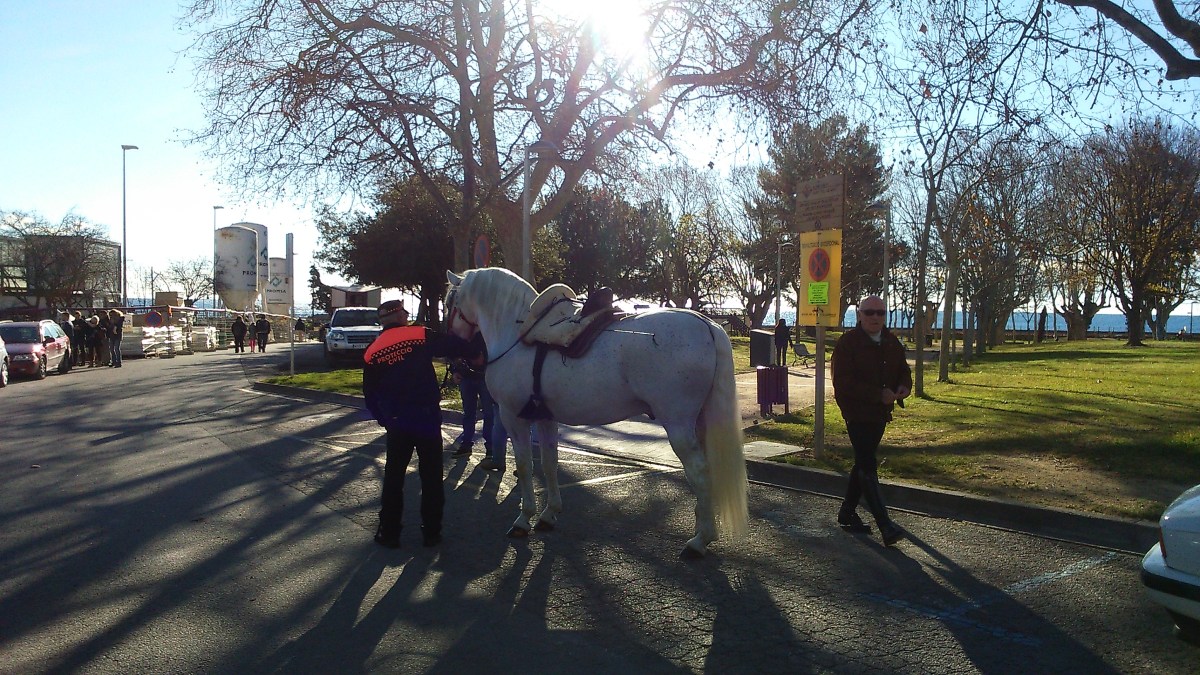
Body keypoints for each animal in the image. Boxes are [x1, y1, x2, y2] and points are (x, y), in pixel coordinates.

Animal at [444, 267, 748, 558]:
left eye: (449, 302)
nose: (455, 357)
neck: (517, 335)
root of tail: (708, 325)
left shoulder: (513, 418)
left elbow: (525, 466)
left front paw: (523, 519)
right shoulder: (545, 418)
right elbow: (549, 464)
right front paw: (548, 514)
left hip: (679, 425)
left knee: (698, 471)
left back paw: (699, 541)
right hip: (701, 422)